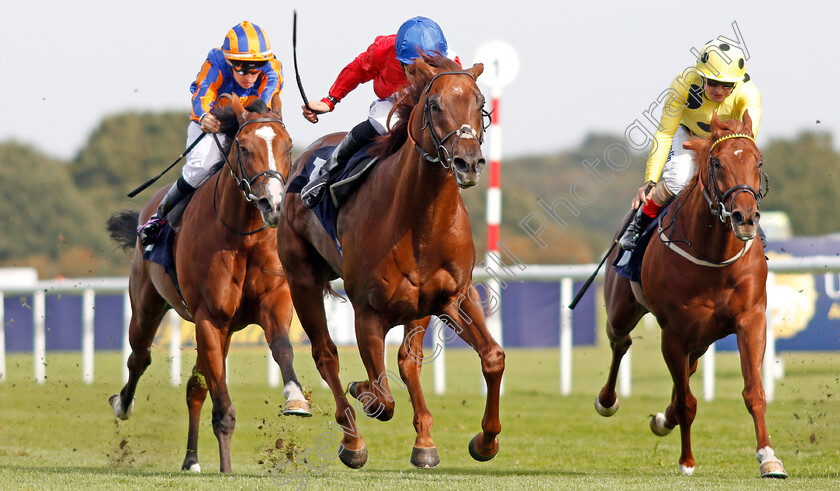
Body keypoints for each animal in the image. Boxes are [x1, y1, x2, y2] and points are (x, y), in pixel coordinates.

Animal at [106, 94, 310, 474]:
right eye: (243, 147)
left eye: (288, 146)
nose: (273, 204)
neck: (243, 237)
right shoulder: (209, 318)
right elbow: (223, 408)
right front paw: (226, 468)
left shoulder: (273, 303)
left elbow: (282, 347)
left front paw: (295, 398)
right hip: (146, 306)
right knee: (139, 357)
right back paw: (123, 405)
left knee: (195, 388)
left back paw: (191, 459)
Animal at [276, 55, 502, 470]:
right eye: (434, 105)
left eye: (480, 104)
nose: (469, 162)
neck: (420, 220)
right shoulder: (367, 311)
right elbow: (382, 398)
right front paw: (362, 392)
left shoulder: (454, 297)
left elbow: (492, 357)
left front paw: (485, 441)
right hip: (301, 280)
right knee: (326, 355)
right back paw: (352, 440)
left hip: (418, 308)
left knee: (407, 362)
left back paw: (425, 441)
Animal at [592, 113, 784, 478]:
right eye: (717, 162)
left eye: (759, 161)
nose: (745, 218)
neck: (714, 257)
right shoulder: (673, 333)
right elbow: (687, 402)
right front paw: (687, 460)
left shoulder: (751, 319)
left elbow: (754, 391)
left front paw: (769, 458)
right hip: (623, 309)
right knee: (620, 341)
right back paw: (607, 401)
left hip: (703, 336)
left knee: (689, 367)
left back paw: (662, 418)